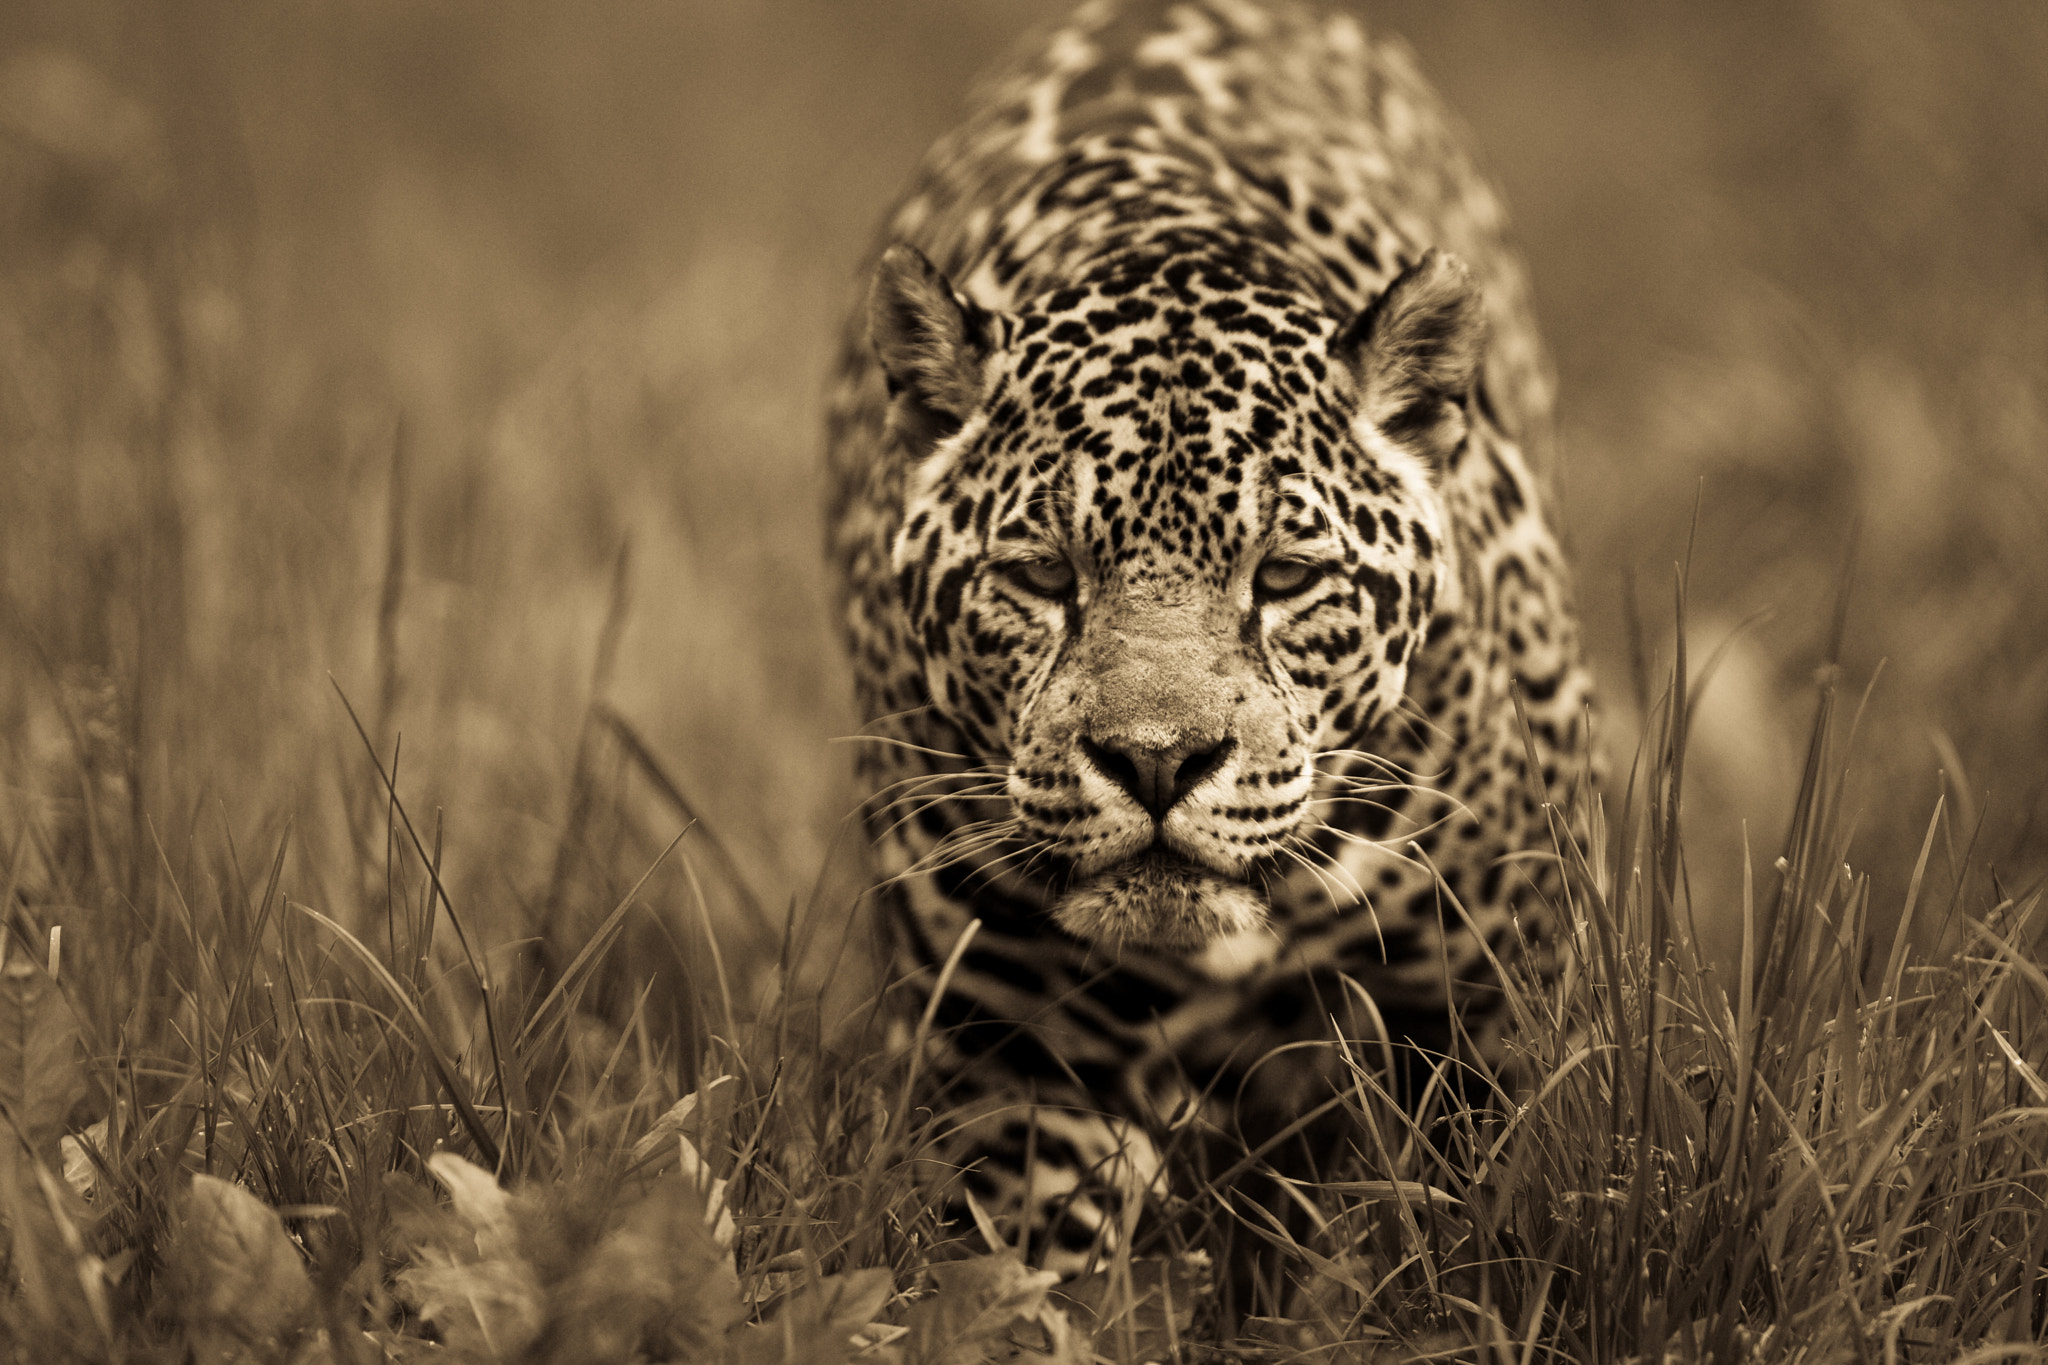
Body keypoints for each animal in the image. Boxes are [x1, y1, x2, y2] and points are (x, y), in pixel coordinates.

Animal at [823, 0, 1595, 1277]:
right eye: (1042, 574)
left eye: (1282, 577)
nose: (1154, 763)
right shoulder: (1016, 1057)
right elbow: (1024, 1270)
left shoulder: (1499, 1004)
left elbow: (1494, 1229)